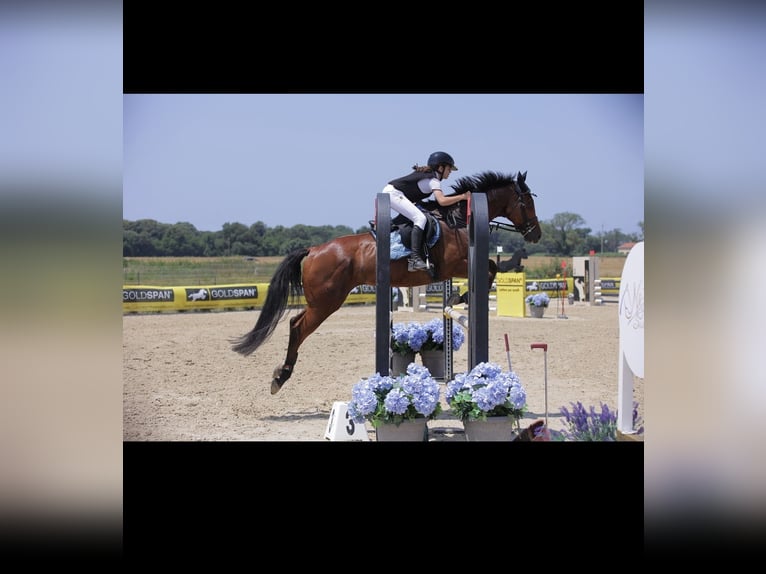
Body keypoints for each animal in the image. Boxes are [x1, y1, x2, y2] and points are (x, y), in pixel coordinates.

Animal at [231, 170, 542, 394]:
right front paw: (461, 297)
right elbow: (490, 268)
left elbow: (490, 268)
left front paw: (459, 296)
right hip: (326, 302)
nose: (536, 234)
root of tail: (314, 249)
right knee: (297, 326)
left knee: (296, 325)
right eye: (527, 202)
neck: (457, 220)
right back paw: (281, 376)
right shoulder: (455, 264)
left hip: (325, 301)